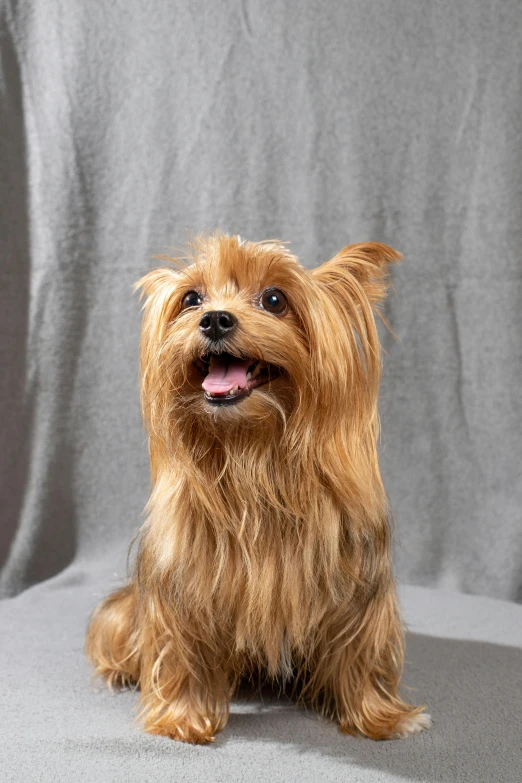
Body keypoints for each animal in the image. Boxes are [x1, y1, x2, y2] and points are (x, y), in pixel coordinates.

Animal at [85, 231, 426, 740]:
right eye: (192, 298)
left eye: (275, 300)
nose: (214, 318)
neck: (254, 455)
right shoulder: (185, 580)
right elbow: (183, 646)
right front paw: (184, 718)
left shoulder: (356, 585)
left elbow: (359, 647)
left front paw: (377, 715)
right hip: (124, 612)